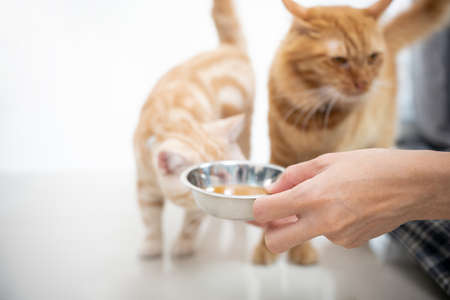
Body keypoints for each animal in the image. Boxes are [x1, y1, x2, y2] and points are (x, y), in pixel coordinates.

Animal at [134, 0, 253, 258]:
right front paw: (152, 245)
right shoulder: (144, 181)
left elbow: (192, 222)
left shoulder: (197, 207)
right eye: (217, 176)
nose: (230, 188)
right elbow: (149, 217)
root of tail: (227, 48)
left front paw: (184, 245)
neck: (175, 117)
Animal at [253, 0, 450, 266]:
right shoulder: (280, 153)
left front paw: (301, 250)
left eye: (372, 57)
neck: (312, 116)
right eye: (339, 60)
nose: (364, 83)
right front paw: (266, 248)